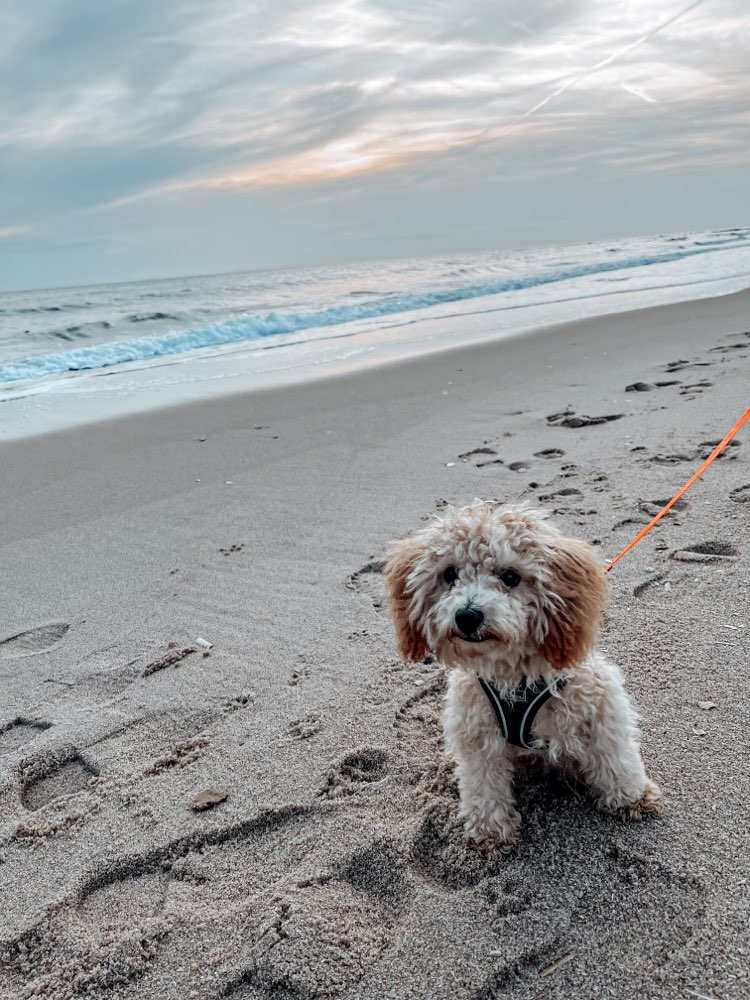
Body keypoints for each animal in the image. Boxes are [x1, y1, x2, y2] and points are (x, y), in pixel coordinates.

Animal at [388, 504, 664, 856]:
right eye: (449, 574)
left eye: (510, 577)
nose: (467, 616)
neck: (513, 673)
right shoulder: (476, 732)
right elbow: (483, 784)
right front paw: (489, 831)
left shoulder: (600, 704)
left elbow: (615, 756)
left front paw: (631, 798)